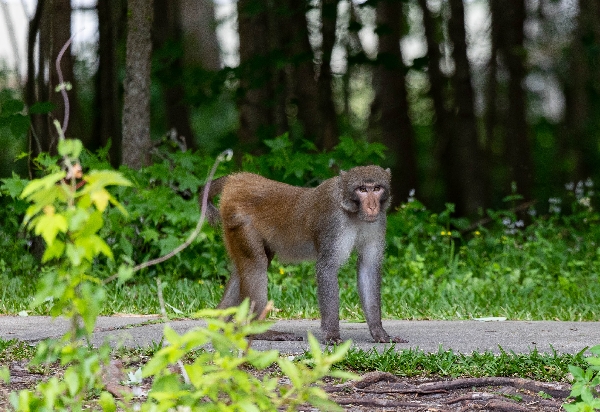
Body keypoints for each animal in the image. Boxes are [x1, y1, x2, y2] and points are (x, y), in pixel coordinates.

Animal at [202, 166, 408, 342]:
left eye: (377, 188)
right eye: (362, 189)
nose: (372, 206)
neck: (353, 212)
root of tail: (238, 179)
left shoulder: (378, 223)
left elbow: (368, 268)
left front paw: (379, 332)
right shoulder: (333, 222)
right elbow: (327, 268)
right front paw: (331, 335)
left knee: (250, 266)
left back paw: (220, 323)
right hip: (238, 218)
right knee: (256, 264)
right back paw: (259, 331)